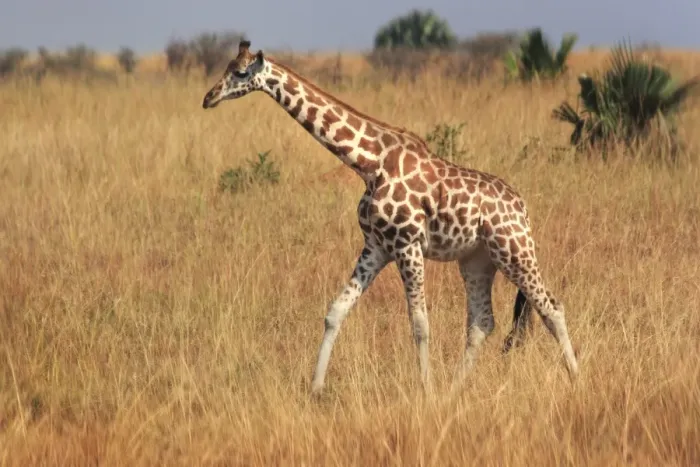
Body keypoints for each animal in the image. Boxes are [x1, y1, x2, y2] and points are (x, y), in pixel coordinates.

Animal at [202, 40, 579, 394]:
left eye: (240, 73)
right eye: (227, 67)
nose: (208, 97)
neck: (369, 163)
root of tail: (522, 208)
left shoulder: (407, 244)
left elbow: (420, 324)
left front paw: (426, 390)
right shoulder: (377, 246)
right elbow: (335, 312)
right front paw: (316, 388)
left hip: (514, 251)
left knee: (552, 307)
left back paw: (576, 377)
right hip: (477, 260)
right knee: (482, 323)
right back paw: (454, 390)